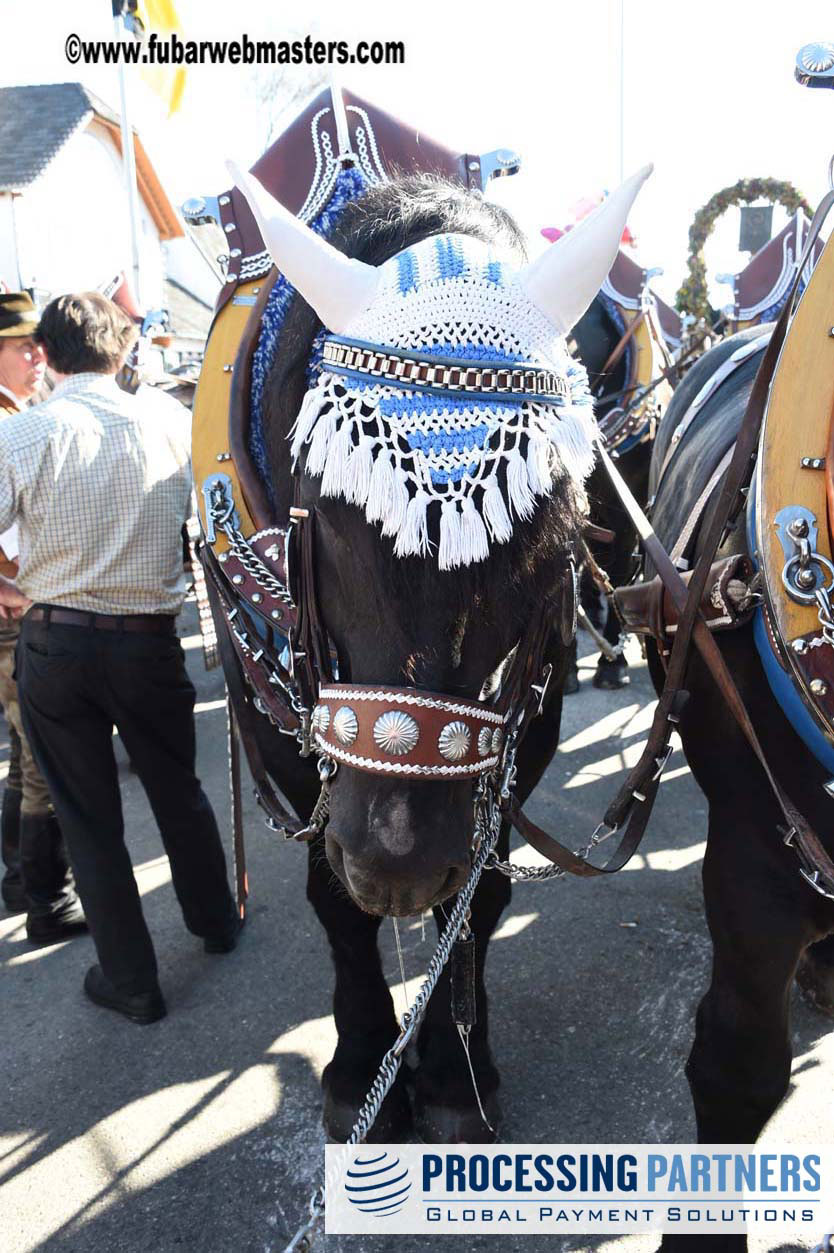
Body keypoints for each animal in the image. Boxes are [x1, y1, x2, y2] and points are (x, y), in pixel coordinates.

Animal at [245, 176, 583, 1147]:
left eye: (546, 538)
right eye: (323, 508)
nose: (394, 864)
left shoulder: (525, 720)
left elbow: (475, 895)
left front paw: (455, 1073)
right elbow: (333, 899)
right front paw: (363, 1063)